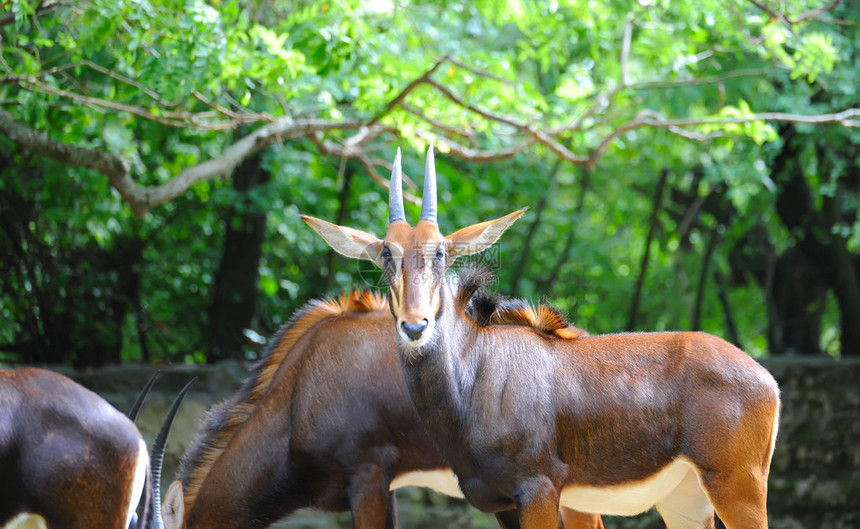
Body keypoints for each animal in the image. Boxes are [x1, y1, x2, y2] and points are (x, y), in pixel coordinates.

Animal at [300, 147, 780, 528]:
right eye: (385, 252)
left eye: (441, 251)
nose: (415, 327)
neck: (474, 374)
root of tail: (767, 381)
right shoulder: (500, 503)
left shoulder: (538, 490)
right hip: (687, 500)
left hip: (737, 484)